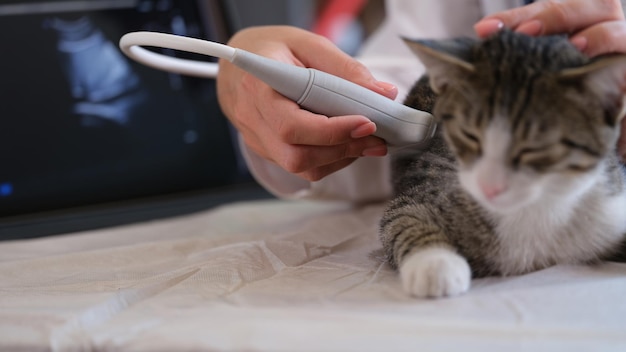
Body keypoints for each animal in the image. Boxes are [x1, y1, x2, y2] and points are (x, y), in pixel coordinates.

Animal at [378, 30, 624, 298]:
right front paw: (435, 263)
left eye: (534, 147)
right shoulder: (430, 184)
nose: (490, 187)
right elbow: (402, 217)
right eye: (468, 135)